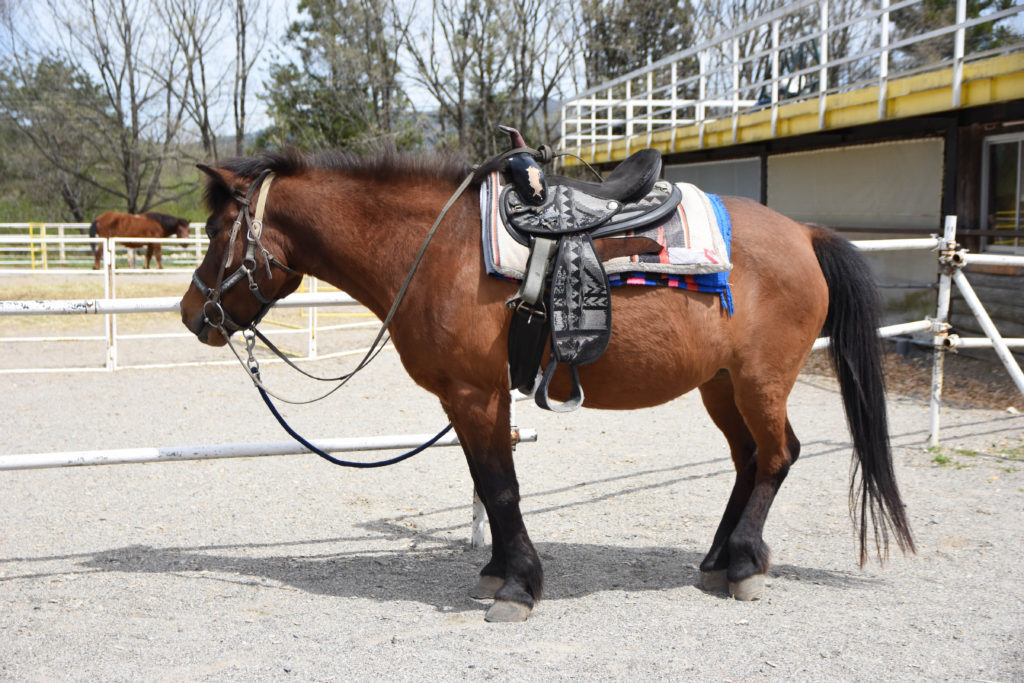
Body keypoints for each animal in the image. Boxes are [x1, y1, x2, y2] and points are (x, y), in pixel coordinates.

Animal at [178, 148, 915, 622]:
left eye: (215, 230)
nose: (192, 315)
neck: (436, 249)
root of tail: (805, 233)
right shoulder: (467, 398)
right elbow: (487, 483)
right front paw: (498, 572)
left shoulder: (475, 394)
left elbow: (501, 486)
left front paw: (519, 587)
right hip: (721, 384)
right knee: (750, 459)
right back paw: (719, 558)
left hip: (761, 381)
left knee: (779, 455)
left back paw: (741, 565)